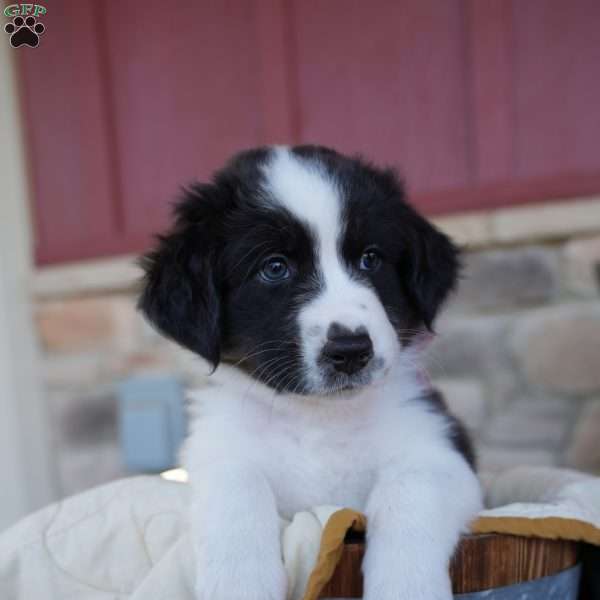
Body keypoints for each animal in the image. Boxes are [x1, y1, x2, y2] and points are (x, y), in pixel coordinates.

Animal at [139, 145, 482, 600]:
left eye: (370, 259)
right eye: (274, 267)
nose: (350, 350)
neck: (319, 418)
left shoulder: (439, 447)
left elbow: (410, 489)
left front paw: (407, 587)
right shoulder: (217, 451)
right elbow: (237, 486)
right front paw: (241, 583)